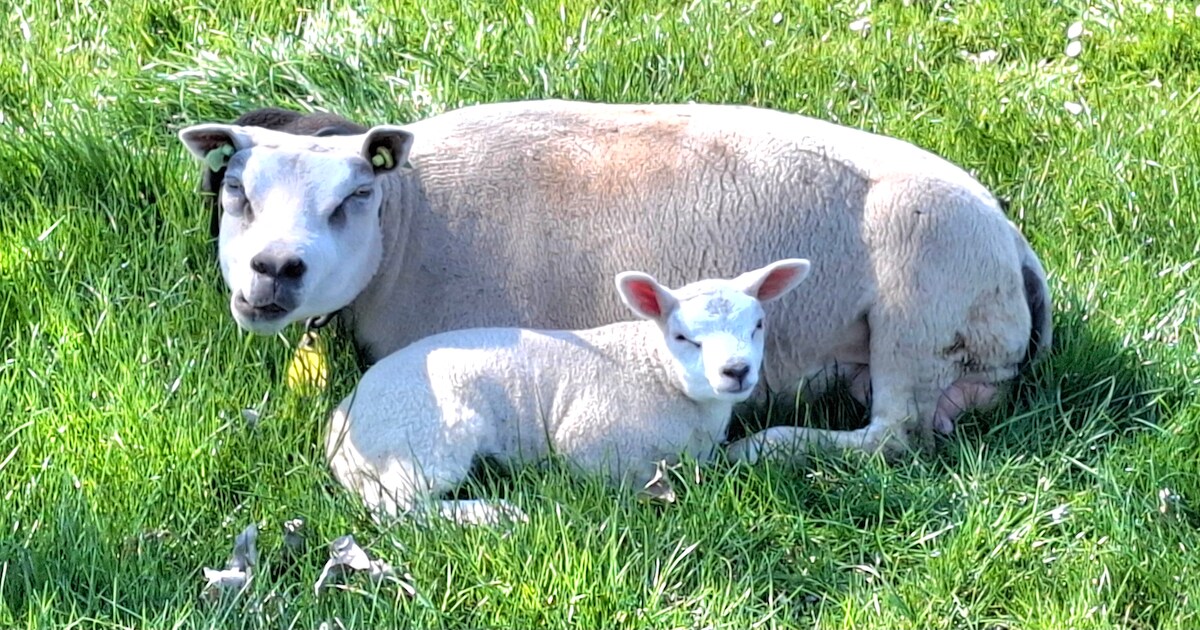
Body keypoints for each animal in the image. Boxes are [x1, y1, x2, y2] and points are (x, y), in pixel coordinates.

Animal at [325, 259, 811, 523]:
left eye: (758, 325)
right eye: (683, 338)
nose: (736, 371)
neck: (659, 376)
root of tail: (339, 432)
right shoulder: (589, 443)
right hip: (428, 433)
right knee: (396, 509)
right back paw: (498, 514)